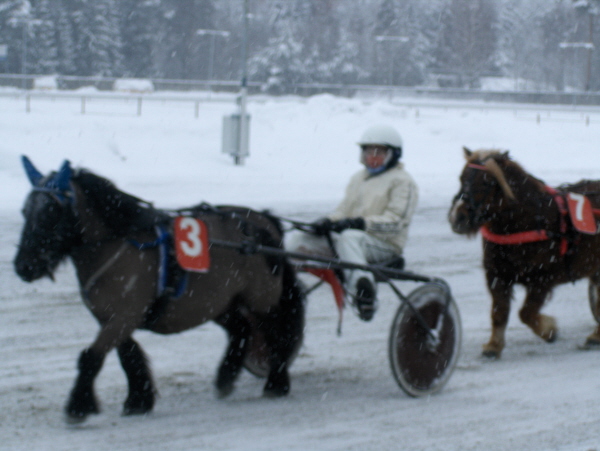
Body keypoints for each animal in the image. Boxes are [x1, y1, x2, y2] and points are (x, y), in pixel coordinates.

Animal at [14, 156, 304, 424]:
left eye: (52, 210)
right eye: (25, 210)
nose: (23, 266)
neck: (118, 242)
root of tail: (265, 221)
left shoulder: (124, 316)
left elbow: (91, 356)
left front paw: (77, 406)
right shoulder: (111, 317)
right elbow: (128, 356)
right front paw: (138, 400)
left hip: (262, 299)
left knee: (276, 334)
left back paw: (276, 383)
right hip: (217, 301)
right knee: (242, 329)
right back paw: (225, 378)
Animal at [448, 150, 600, 358]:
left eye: (487, 182)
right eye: (461, 178)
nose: (458, 217)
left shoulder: (542, 278)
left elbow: (526, 313)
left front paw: (549, 330)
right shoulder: (497, 275)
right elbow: (499, 312)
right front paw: (493, 346)